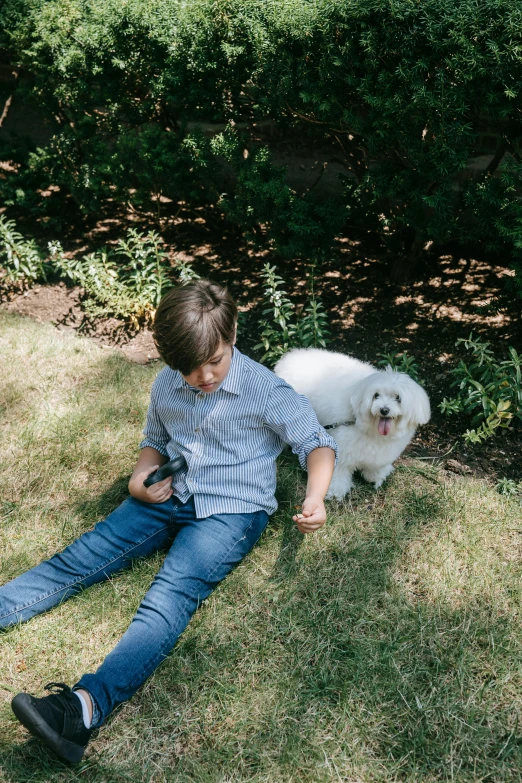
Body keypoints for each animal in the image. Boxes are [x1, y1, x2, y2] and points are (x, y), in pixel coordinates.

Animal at [274, 348, 428, 500]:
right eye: (376, 395)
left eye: (398, 398)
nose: (384, 410)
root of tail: (289, 358)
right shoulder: (342, 448)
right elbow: (339, 469)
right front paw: (335, 491)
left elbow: (376, 466)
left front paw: (376, 476)